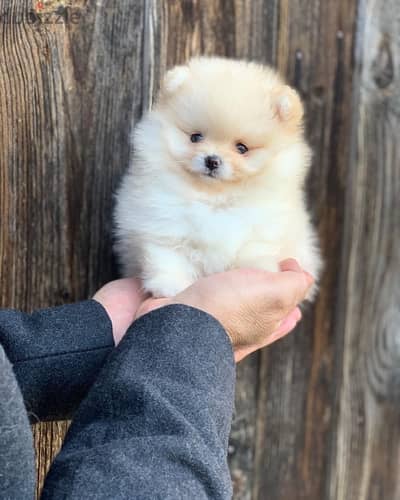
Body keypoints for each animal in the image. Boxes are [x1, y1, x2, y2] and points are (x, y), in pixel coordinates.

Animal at [113, 55, 322, 296]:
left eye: (241, 148)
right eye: (195, 137)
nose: (212, 160)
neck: (214, 199)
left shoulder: (263, 229)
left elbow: (253, 250)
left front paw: (257, 270)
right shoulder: (161, 224)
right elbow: (168, 257)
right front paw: (170, 285)